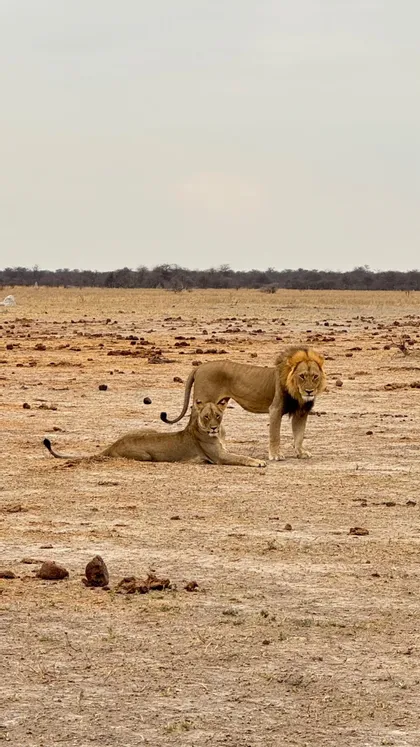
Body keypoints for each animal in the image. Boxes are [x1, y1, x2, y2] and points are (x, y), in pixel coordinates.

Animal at [43, 400, 266, 468]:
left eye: (218, 416)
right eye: (206, 417)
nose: (213, 427)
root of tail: (114, 444)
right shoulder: (219, 457)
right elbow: (241, 457)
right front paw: (258, 462)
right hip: (146, 456)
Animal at [160, 346, 326, 460]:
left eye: (315, 376)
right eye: (302, 376)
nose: (309, 391)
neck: (297, 392)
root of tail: (199, 367)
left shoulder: (301, 412)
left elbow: (299, 435)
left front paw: (301, 452)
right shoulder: (275, 409)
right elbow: (275, 435)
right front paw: (275, 455)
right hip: (202, 402)